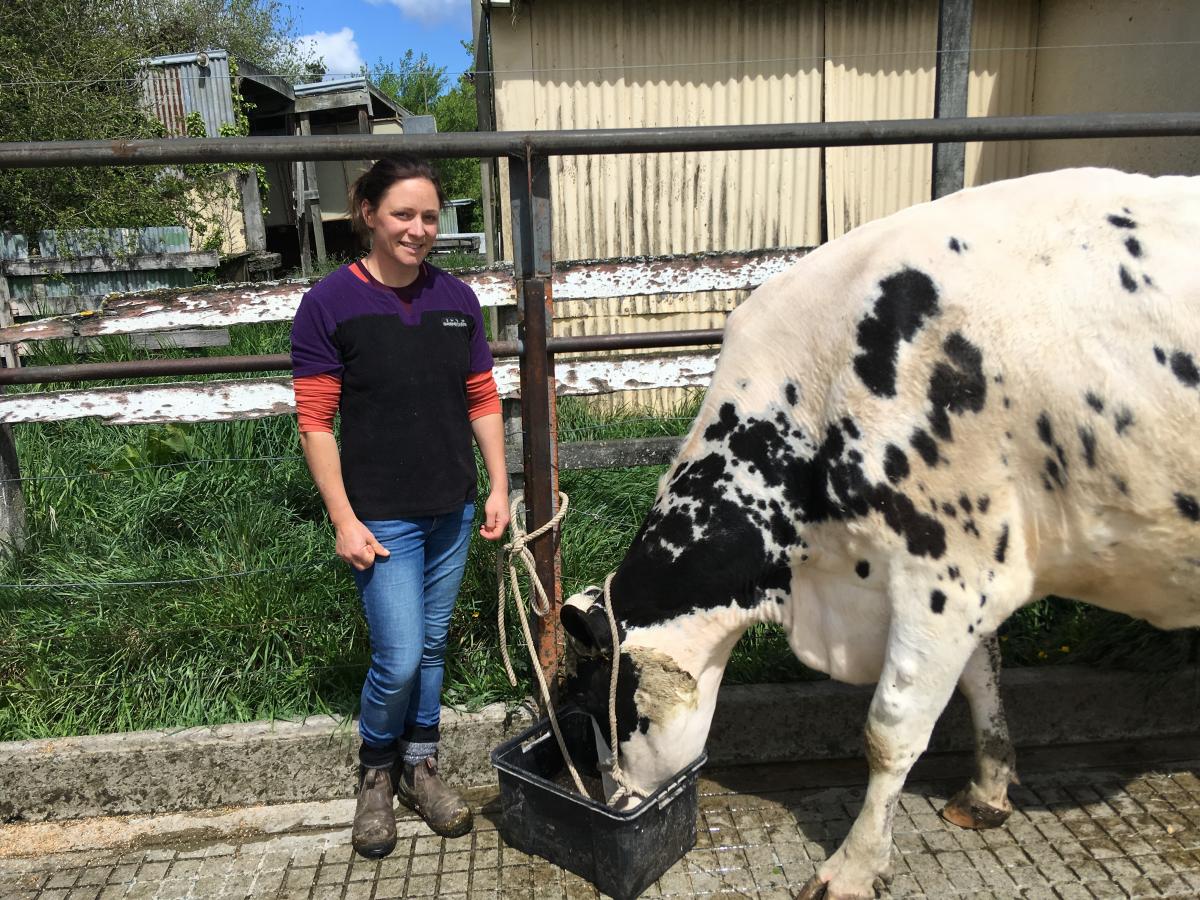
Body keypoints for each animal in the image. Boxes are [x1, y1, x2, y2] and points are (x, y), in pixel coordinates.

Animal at [559, 167, 1200, 899]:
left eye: (594, 706)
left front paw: (853, 866)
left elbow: (891, 729)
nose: (612, 802)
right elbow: (983, 679)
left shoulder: (946, 567)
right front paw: (987, 792)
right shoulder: (972, 576)